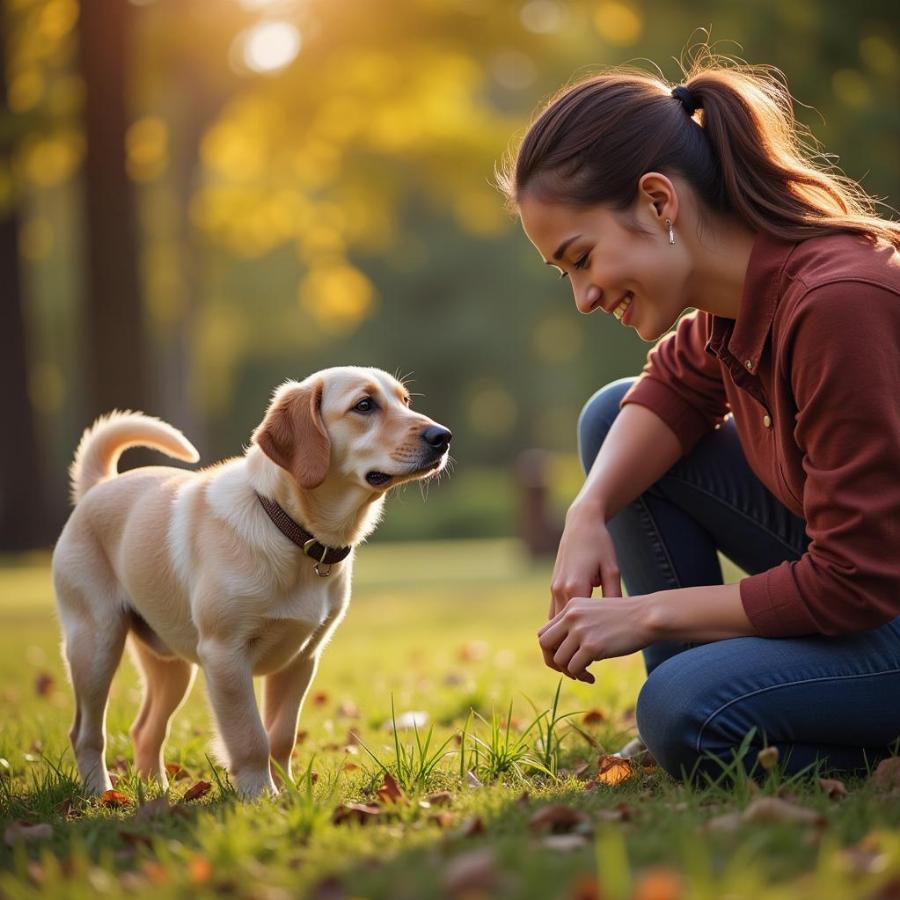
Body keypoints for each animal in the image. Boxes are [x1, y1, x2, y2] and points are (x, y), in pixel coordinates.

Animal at [51, 370, 450, 800]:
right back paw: (100, 793)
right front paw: (261, 796)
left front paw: (288, 793)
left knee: (145, 730)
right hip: (96, 644)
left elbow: (282, 735)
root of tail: (97, 487)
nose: (443, 436)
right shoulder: (225, 655)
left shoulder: (301, 659)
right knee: (85, 732)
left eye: (405, 401)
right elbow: (250, 737)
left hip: (171, 666)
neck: (291, 531)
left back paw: (155, 791)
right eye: (364, 405)